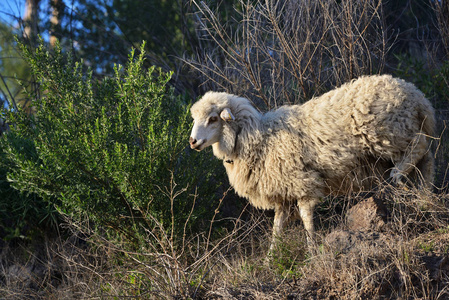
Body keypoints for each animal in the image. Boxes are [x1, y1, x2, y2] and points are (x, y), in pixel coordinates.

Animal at [188, 75, 434, 251]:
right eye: (195, 119)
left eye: (213, 118)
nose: (192, 142)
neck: (257, 138)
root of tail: (416, 95)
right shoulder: (283, 192)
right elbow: (277, 228)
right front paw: (270, 258)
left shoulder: (302, 182)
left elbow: (306, 218)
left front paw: (312, 249)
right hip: (397, 134)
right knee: (426, 161)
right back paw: (425, 196)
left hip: (390, 133)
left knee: (420, 146)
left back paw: (400, 176)